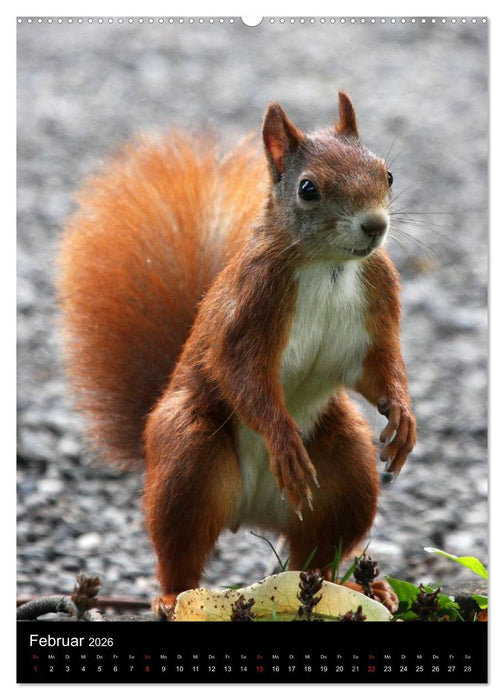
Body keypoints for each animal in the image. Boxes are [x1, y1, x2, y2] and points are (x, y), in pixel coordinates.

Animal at [58, 92, 416, 619]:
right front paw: (283, 440)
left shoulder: (378, 298)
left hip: (346, 468)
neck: (327, 264)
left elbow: (380, 370)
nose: (375, 226)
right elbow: (242, 375)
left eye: (386, 174)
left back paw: (357, 588)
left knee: (316, 553)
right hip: (189, 458)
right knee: (181, 549)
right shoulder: (250, 308)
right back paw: (173, 597)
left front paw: (404, 417)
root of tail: (253, 511)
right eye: (308, 189)